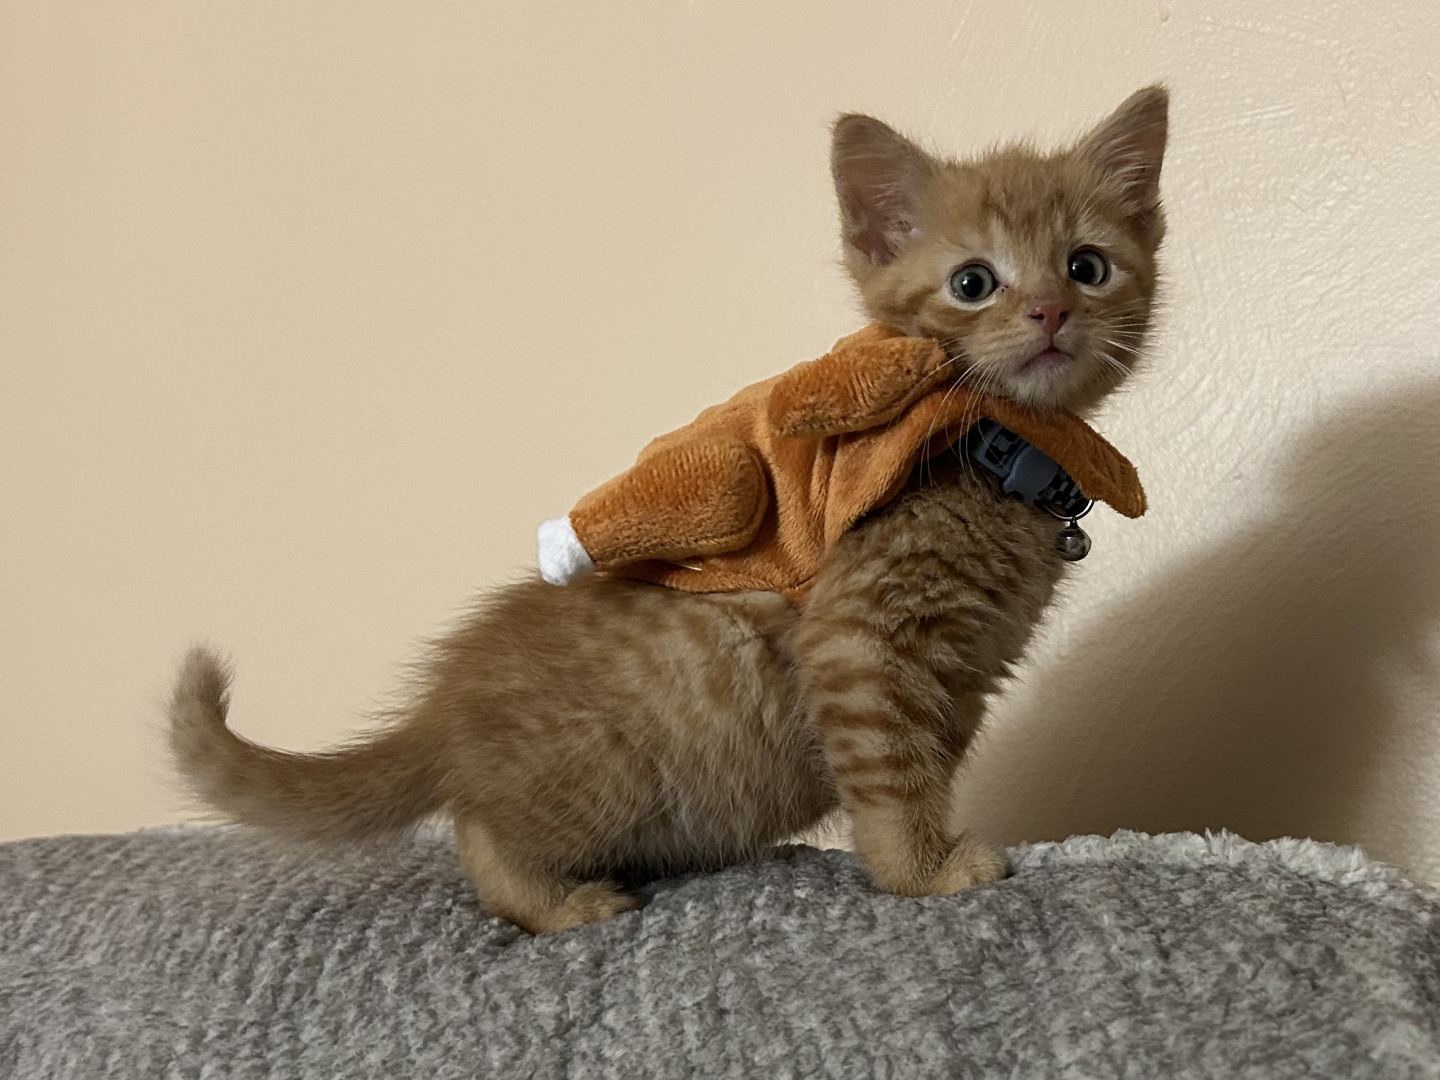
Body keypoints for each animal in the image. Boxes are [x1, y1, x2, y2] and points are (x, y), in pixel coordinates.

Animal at [169, 86, 1168, 934]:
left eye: (1087, 267)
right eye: (972, 282)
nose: (1049, 311)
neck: (993, 458)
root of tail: (445, 708)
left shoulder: (963, 673)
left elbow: (927, 763)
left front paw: (930, 850)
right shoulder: (861, 640)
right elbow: (891, 773)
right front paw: (922, 872)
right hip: (598, 776)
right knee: (481, 835)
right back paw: (554, 901)